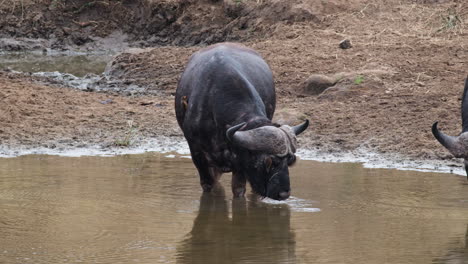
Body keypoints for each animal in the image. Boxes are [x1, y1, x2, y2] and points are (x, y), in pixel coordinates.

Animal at [174, 43, 308, 200]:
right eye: (268, 161)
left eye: (290, 160)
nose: (283, 193)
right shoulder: (198, 154)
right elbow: (208, 185)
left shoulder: (240, 165)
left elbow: (238, 190)